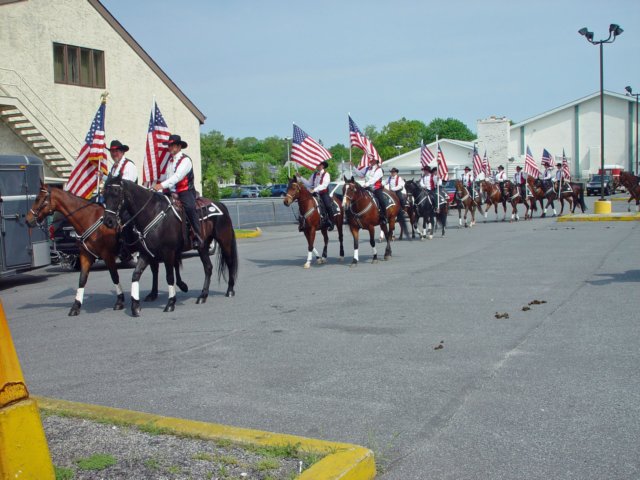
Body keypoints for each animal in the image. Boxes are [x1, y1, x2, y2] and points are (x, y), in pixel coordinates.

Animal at [24, 184, 165, 316]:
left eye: (38, 199)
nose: (27, 219)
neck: (88, 219)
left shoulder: (108, 255)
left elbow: (114, 276)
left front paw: (119, 301)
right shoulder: (85, 256)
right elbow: (82, 279)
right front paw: (76, 306)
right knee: (155, 269)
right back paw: (153, 294)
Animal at [102, 175, 238, 316]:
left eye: (116, 193)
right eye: (104, 195)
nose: (108, 221)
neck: (152, 213)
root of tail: (220, 205)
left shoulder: (168, 252)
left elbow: (169, 276)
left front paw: (171, 303)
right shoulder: (146, 253)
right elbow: (136, 274)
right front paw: (135, 306)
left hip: (224, 242)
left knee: (230, 262)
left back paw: (230, 290)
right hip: (202, 246)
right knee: (208, 268)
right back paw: (203, 296)